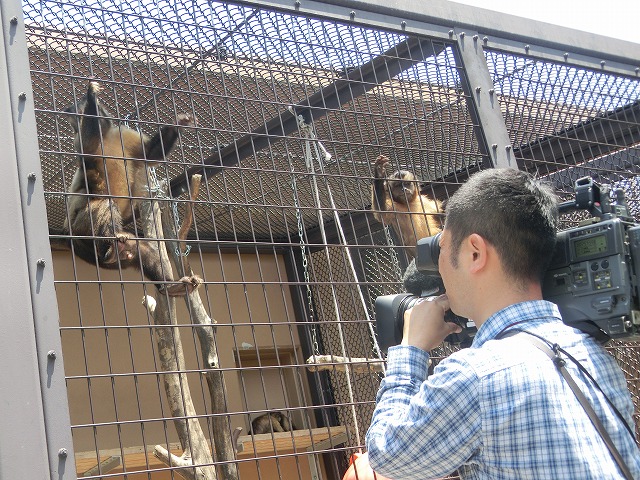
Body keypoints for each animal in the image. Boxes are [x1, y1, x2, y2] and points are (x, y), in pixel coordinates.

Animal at [63, 80, 200, 294]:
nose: (78, 120)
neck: (105, 136)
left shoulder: (121, 133)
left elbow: (150, 154)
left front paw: (178, 124)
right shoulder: (81, 140)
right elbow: (88, 156)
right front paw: (92, 95)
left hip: (125, 250)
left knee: (142, 251)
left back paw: (170, 287)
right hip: (80, 231)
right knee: (103, 202)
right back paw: (109, 245)